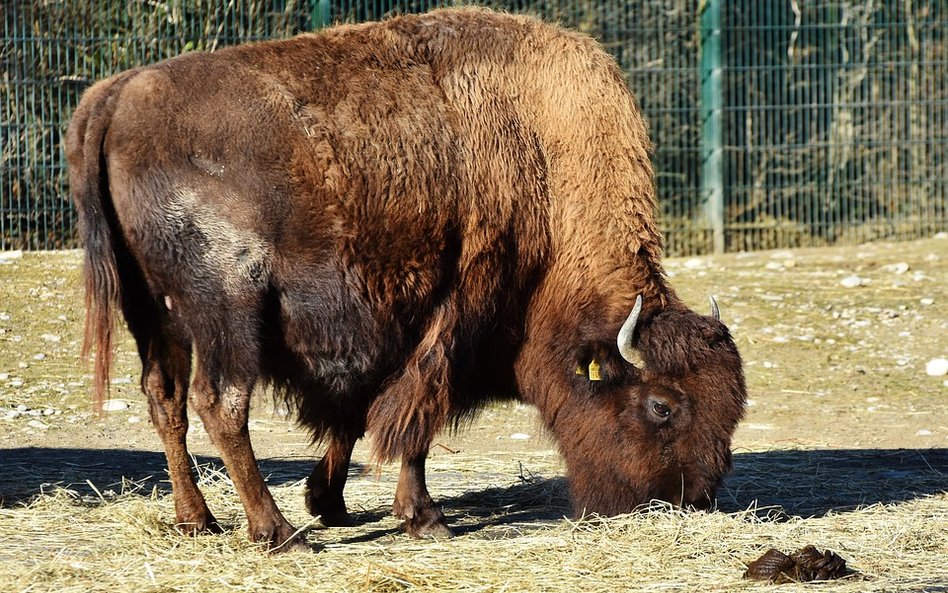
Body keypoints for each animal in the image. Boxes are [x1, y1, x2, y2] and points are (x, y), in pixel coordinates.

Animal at [66, 6, 748, 552]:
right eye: (662, 406)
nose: (691, 498)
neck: (545, 166)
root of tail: (116, 97)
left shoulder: (385, 333)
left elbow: (360, 414)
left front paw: (331, 501)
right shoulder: (450, 322)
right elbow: (416, 417)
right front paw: (425, 518)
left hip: (156, 316)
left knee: (166, 400)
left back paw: (198, 521)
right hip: (227, 311)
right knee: (221, 403)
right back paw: (278, 533)